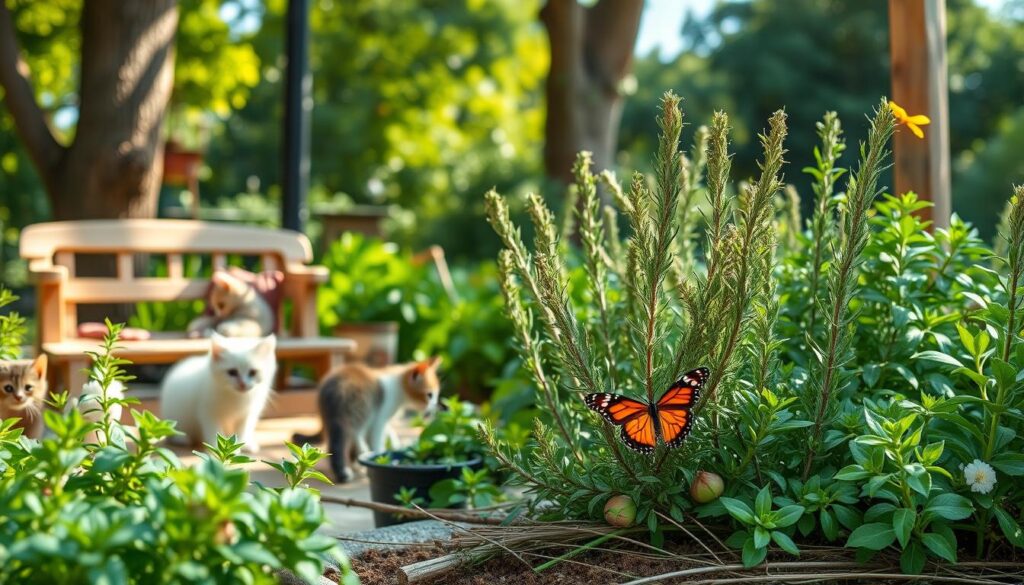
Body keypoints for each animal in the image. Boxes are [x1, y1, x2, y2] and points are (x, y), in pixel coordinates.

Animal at [294, 358, 442, 483]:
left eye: (436, 395)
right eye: (429, 395)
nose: (435, 406)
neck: (397, 385)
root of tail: (336, 392)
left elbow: (390, 430)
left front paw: (395, 444)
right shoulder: (379, 417)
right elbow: (377, 439)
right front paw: (380, 457)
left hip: (330, 416)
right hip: (362, 410)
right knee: (354, 436)